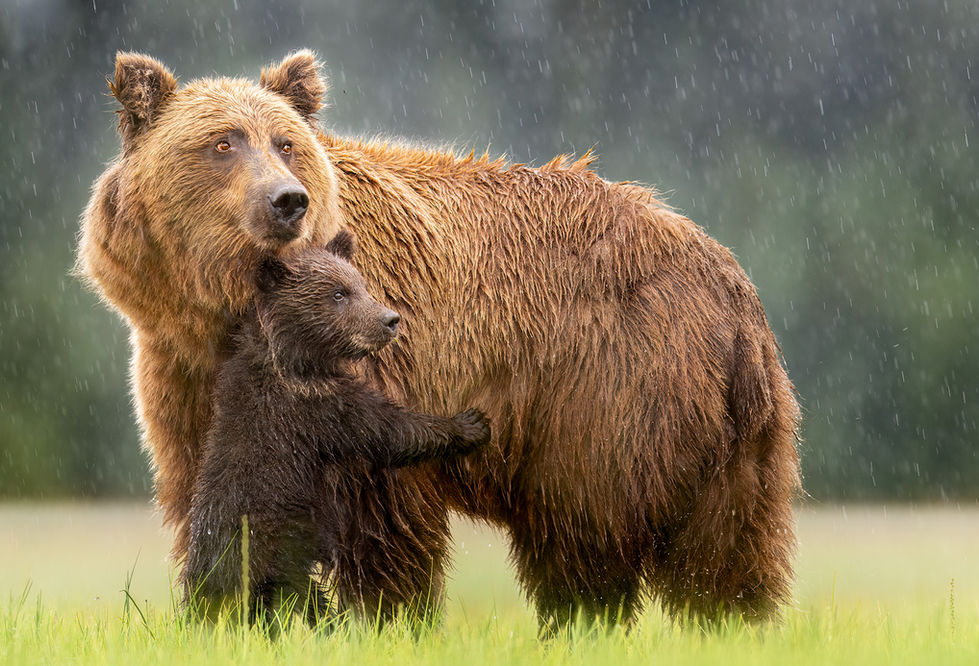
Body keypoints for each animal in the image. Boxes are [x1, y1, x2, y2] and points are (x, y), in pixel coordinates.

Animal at [181, 230, 491, 626]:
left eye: (361, 284)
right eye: (338, 293)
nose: (390, 319)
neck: (297, 360)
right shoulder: (316, 409)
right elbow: (389, 431)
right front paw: (470, 424)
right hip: (269, 547)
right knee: (301, 599)